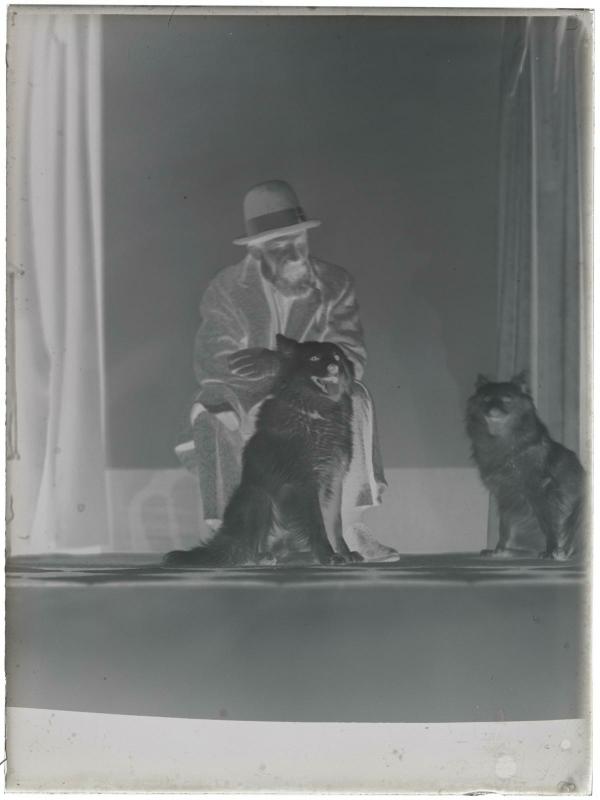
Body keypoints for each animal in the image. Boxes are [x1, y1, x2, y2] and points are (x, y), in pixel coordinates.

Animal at [164, 334, 362, 566]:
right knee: (250, 549)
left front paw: (344, 553)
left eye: (337, 358)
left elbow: (335, 525)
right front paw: (328, 556)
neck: (315, 414)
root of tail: (230, 539)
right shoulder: (305, 484)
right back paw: (264, 557)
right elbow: (317, 526)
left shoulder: (335, 482)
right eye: (314, 358)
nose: (333, 367)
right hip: (259, 499)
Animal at [466, 372, 585, 561]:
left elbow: (548, 525)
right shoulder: (503, 497)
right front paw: (498, 550)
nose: (493, 410)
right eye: (487, 400)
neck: (501, 439)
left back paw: (562, 552)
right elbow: (503, 528)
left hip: (578, 512)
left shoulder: (539, 493)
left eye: (507, 399)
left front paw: (551, 550)